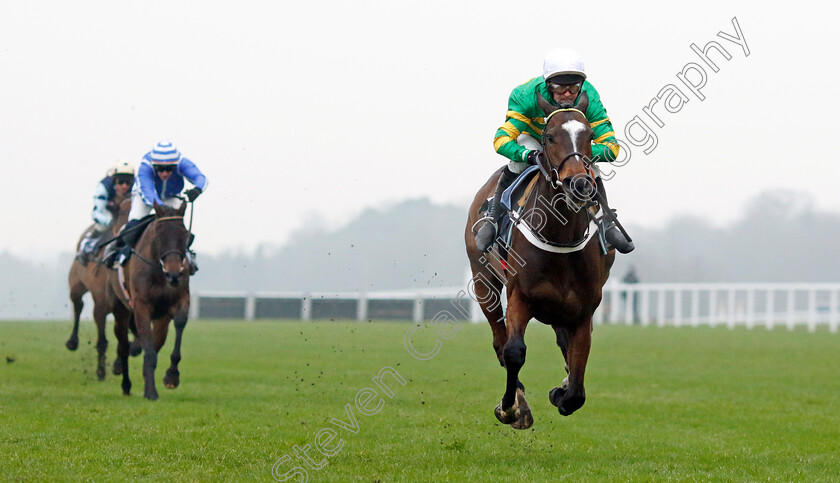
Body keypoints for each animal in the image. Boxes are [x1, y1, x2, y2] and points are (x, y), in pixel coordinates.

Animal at [66, 195, 131, 380]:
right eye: (122, 211)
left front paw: (117, 365)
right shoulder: (100, 306)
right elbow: (103, 341)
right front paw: (101, 371)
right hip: (76, 284)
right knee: (78, 305)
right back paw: (72, 342)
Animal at [108, 201, 192, 400]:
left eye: (185, 235)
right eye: (159, 236)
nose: (174, 273)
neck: (159, 273)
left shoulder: (180, 300)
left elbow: (178, 324)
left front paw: (171, 376)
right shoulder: (141, 307)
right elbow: (149, 350)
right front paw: (151, 392)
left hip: (160, 319)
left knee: (154, 343)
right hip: (120, 310)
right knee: (123, 346)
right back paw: (126, 384)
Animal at [466, 91, 616, 432]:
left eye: (589, 136)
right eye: (549, 137)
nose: (580, 184)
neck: (559, 235)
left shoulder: (584, 309)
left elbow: (577, 386)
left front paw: (562, 391)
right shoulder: (520, 295)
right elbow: (513, 352)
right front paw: (511, 408)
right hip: (484, 282)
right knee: (499, 341)